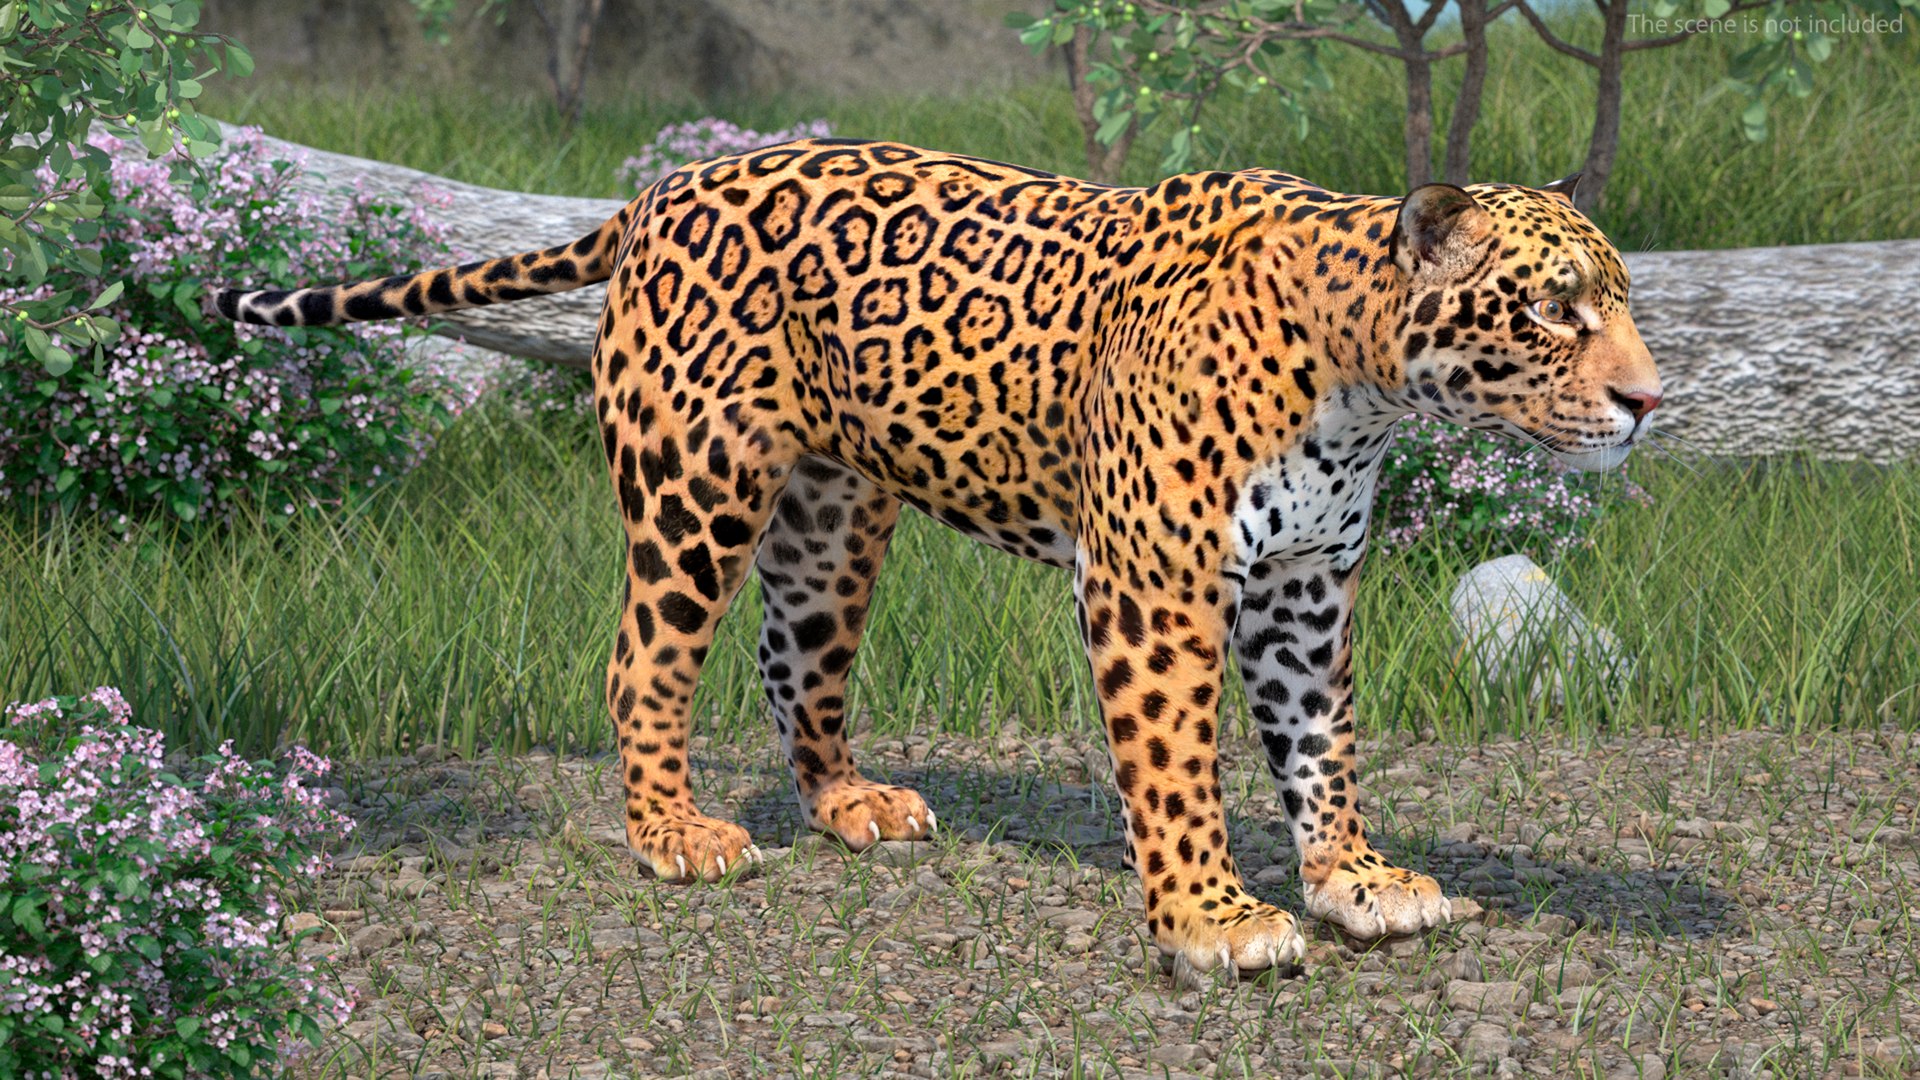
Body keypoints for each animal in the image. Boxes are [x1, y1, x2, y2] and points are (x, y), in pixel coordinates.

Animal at [214, 138, 1662, 980]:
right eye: (1553, 310)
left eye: (1620, 301)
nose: (1651, 401)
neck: (1360, 380)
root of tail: (652, 195)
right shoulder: (1154, 588)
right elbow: (1177, 766)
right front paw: (1211, 918)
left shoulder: (1306, 589)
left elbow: (1323, 747)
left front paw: (1355, 883)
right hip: (697, 489)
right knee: (643, 663)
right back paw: (673, 836)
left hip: (832, 517)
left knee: (793, 665)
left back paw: (850, 804)